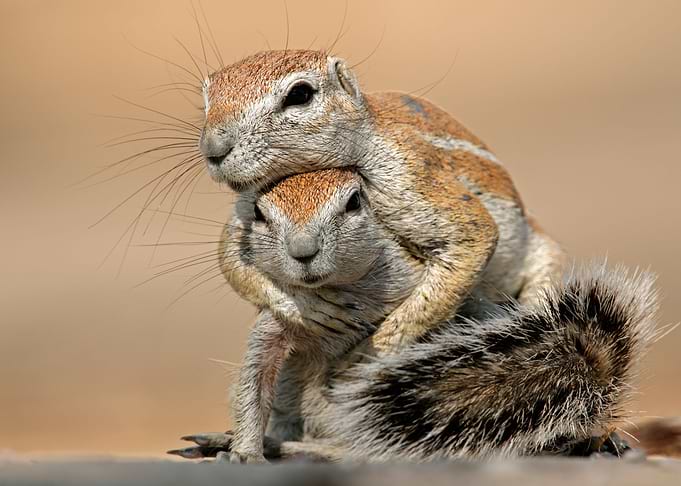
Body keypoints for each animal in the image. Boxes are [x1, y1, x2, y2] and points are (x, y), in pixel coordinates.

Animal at [168, 168, 657, 463]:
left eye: (353, 202)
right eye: (258, 212)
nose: (303, 252)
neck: (337, 289)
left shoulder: (426, 290)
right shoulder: (275, 323)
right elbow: (253, 384)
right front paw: (245, 451)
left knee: (365, 451)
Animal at [198, 49, 566, 356]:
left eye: (300, 94)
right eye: (206, 98)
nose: (212, 148)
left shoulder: (407, 167)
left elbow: (473, 234)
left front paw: (371, 353)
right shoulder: (247, 202)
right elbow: (230, 258)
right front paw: (309, 306)